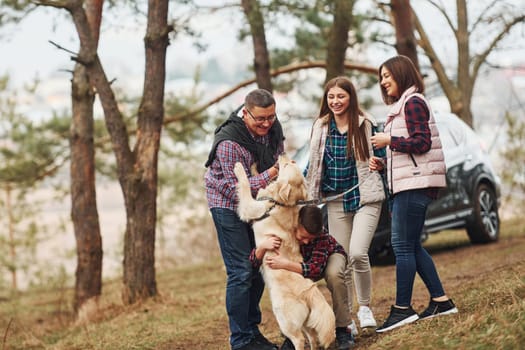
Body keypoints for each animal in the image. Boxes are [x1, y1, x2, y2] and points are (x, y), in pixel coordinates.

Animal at [234, 154, 336, 350]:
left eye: (288, 165)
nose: (283, 156)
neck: (279, 203)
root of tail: (309, 290)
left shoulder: (251, 207)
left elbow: (245, 186)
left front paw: (239, 168)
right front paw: (254, 167)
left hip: (285, 319)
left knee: (299, 339)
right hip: (304, 321)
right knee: (312, 337)